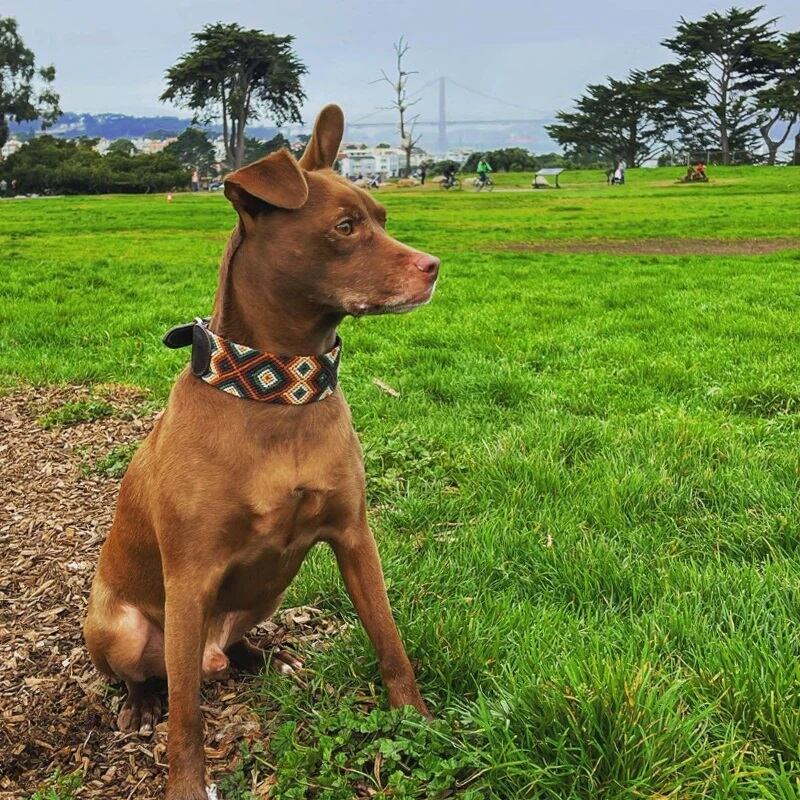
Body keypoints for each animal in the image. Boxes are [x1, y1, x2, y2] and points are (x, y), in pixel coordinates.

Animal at [83, 104, 439, 800]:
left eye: (383, 217)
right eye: (346, 227)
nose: (433, 265)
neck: (277, 393)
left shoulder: (354, 536)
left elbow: (389, 639)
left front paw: (415, 721)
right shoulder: (189, 577)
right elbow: (187, 716)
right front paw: (185, 785)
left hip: (269, 589)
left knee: (230, 649)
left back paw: (262, 655)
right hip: (120, 625)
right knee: (155, 677)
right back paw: (140, 705)